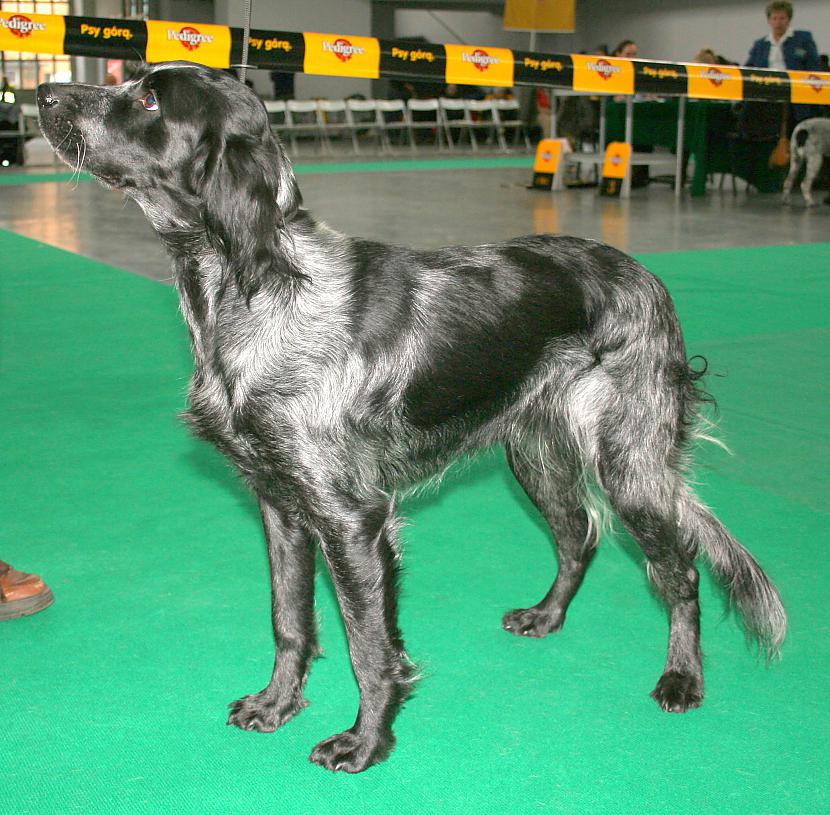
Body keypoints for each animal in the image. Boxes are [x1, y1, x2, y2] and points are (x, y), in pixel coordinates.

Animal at [34, 63, 788, 772]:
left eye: (148, 99)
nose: (43, 94)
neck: (258, 288)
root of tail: (646, 277)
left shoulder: (353, 519)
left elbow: (369, 649)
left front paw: (365, 744)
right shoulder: (280, 504)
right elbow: (289, 620)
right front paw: (277, 704)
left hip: (629, 465)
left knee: (680, 571)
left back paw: (683, 678)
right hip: (535, 457)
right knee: (580, 537)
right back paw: (546, 616)